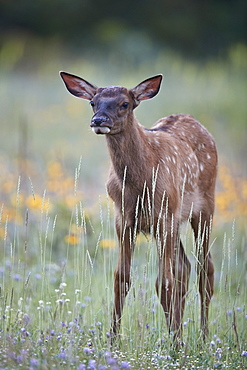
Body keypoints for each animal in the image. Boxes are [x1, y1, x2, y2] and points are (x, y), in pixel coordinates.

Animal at [60, 71, 218, 340]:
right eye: (93, 102)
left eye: (124, 103)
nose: (98, 120)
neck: (140, 184)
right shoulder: (123, 218)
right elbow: (121, 278)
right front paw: (113, 340)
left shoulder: (164, 215)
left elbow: (164, 282)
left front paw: (176, 344)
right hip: (174, 222)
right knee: (185, 267)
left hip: (204, 205)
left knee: (204, 268)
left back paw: (204, 336)